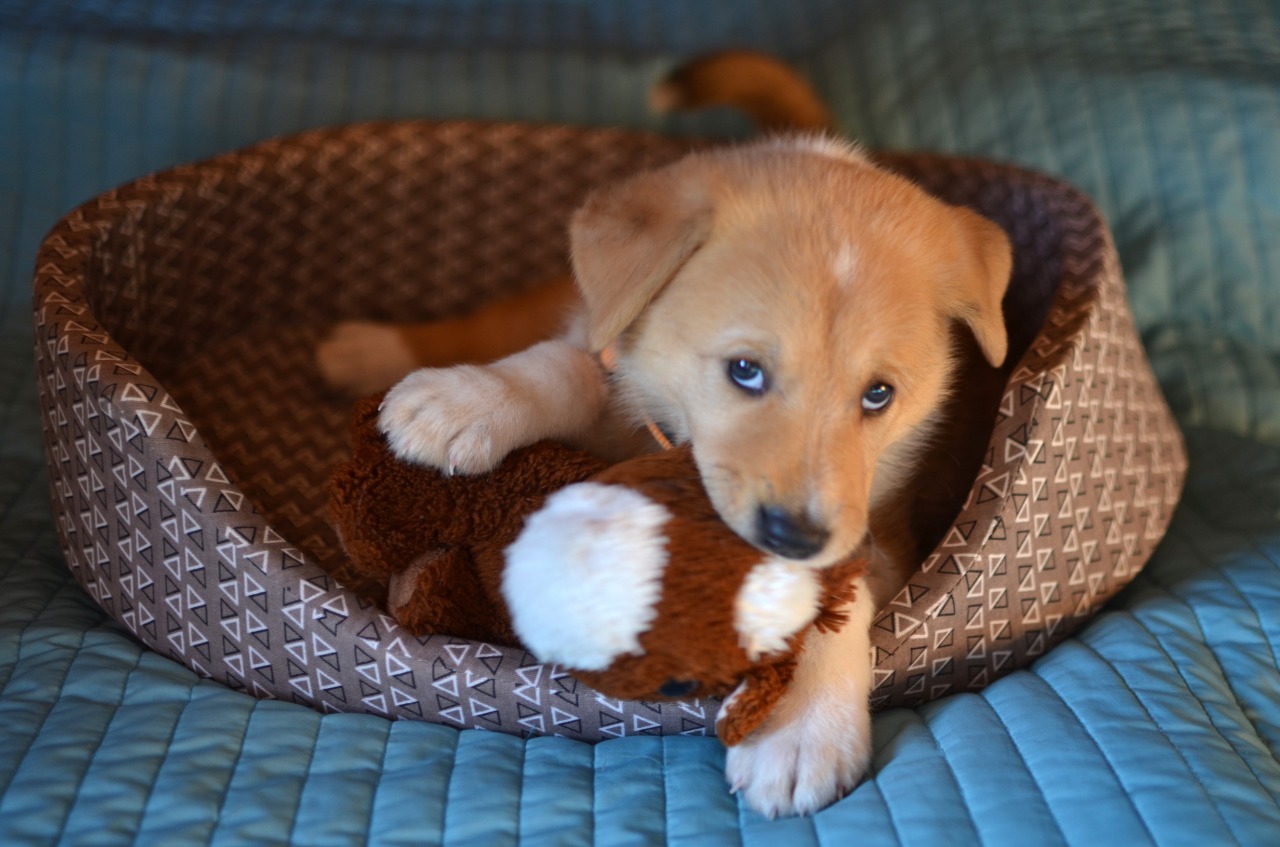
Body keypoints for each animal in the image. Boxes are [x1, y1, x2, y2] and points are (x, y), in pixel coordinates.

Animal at [317, 51, 1008, 818]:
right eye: (744, 371)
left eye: (880, 394)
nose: (795, 535)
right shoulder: (609, 346)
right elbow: (564, 366)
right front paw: (464, 402)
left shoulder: (882, 534)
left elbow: (833, 599)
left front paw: (800, 726)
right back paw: (369, 351)